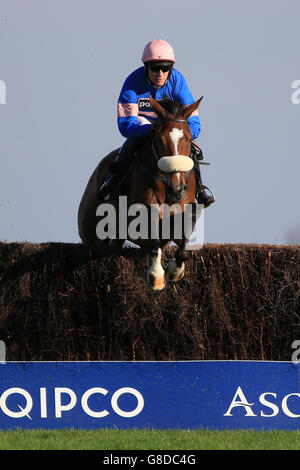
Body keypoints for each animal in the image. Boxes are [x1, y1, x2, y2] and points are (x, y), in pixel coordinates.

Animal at [78, 95, 203, 290]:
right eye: (159, 139)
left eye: (189, 139)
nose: (176, 189)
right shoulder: (138, 217)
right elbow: (152, 228)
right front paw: (157, 276)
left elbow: (185, 234)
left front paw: (174, 271)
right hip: (88, 228)